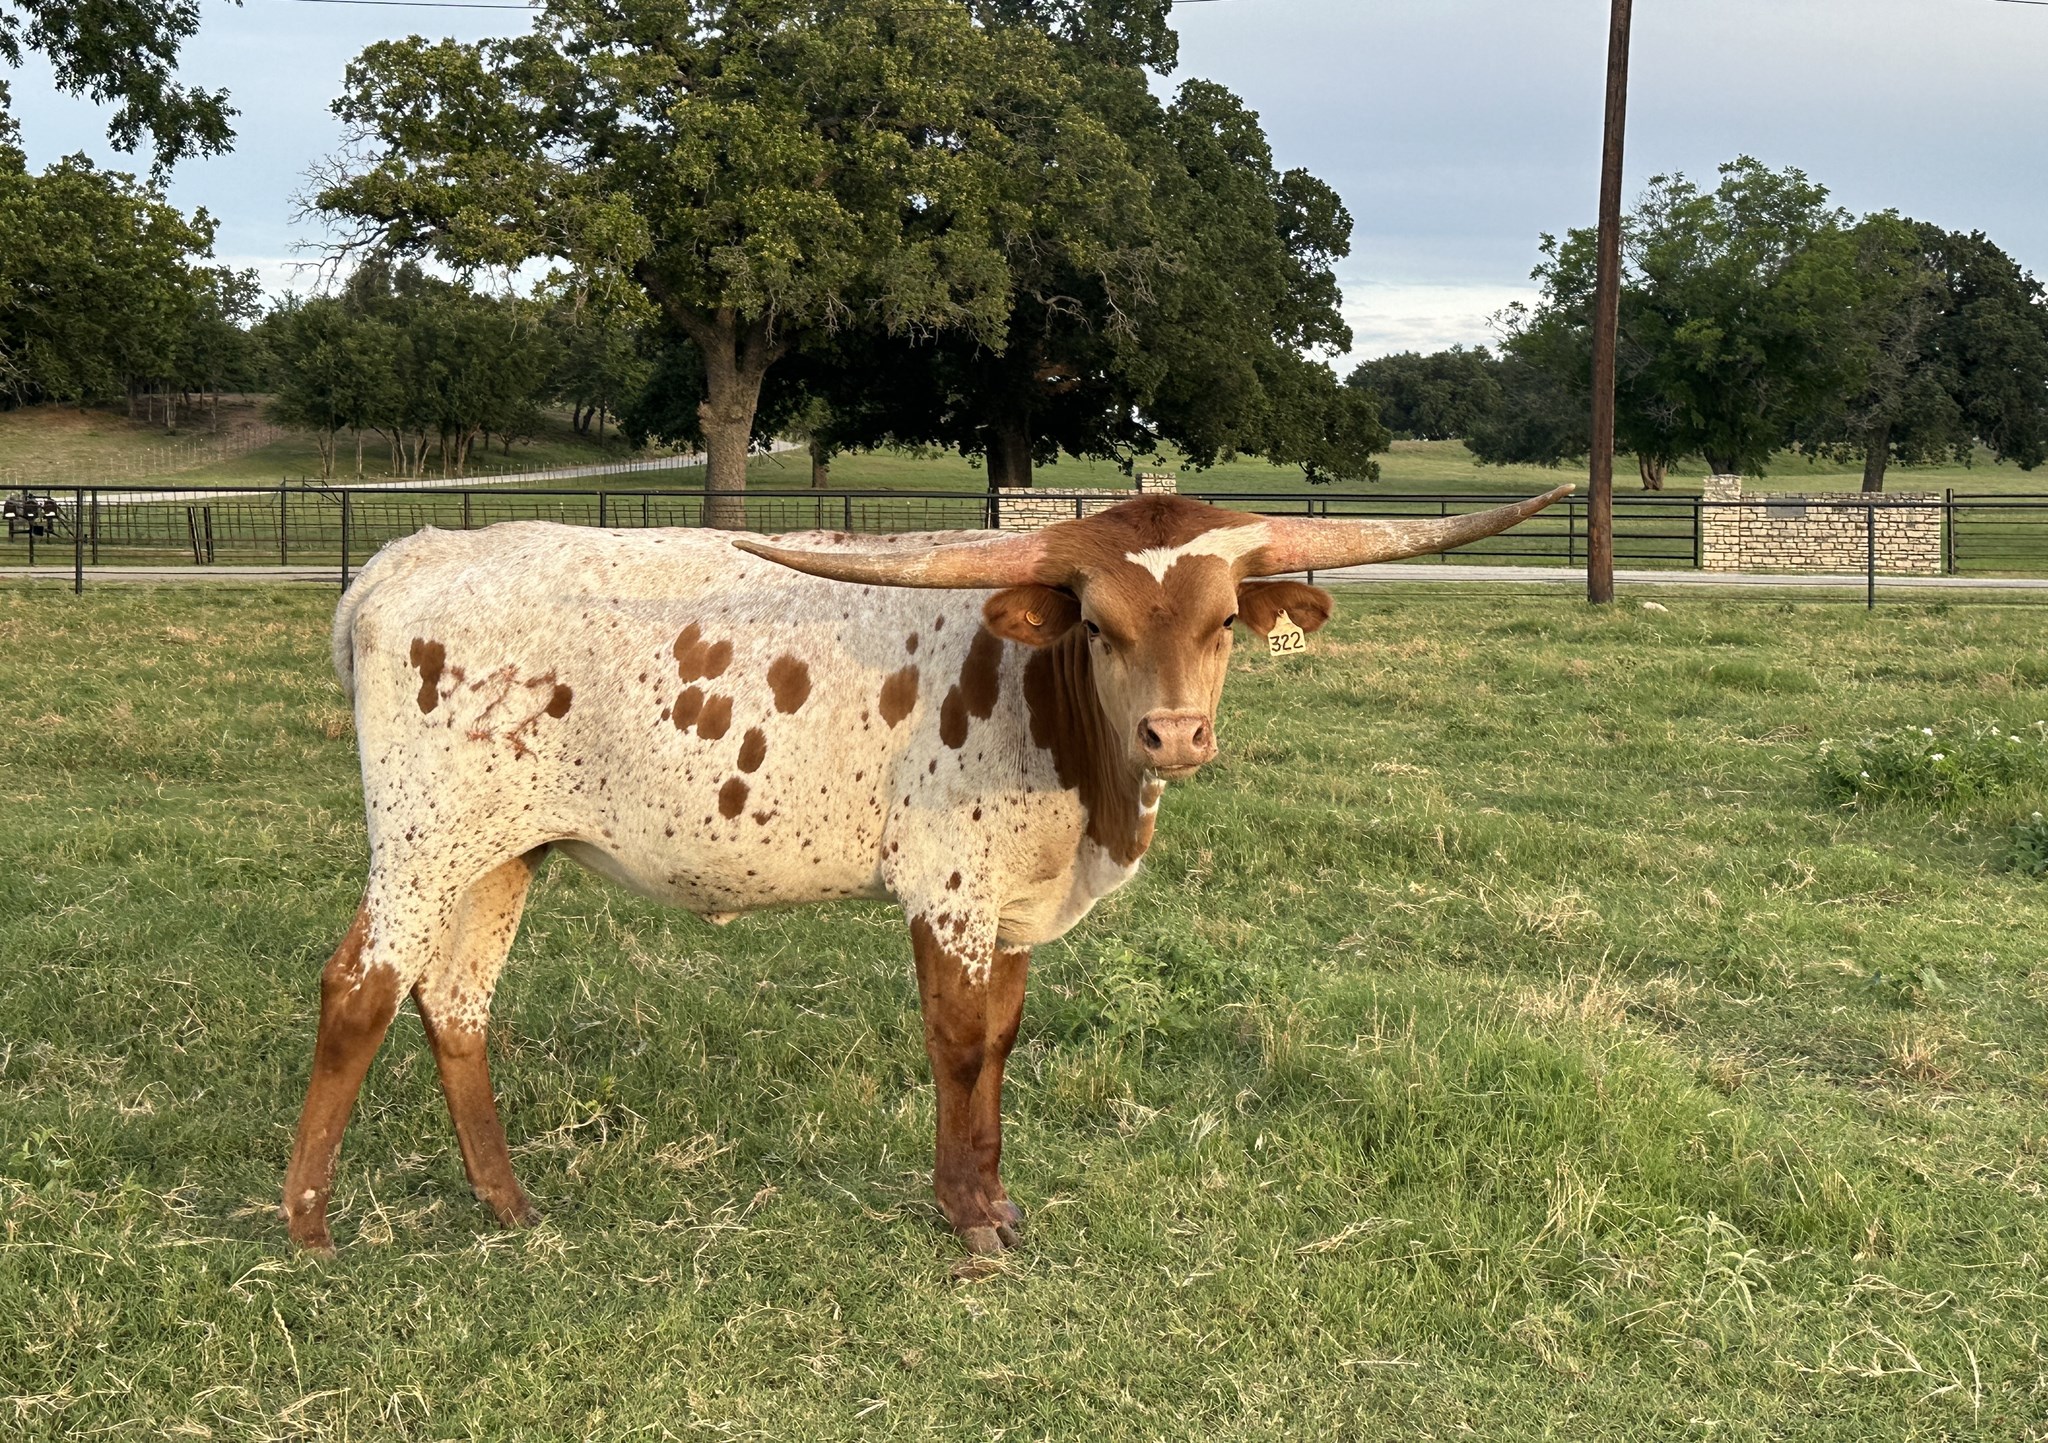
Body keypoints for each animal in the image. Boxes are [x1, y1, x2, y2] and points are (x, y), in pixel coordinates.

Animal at [283, 486, 1570, 1255]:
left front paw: (993, 1200)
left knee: (455, 1001)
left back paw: (508, 1205)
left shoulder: (1011, 902)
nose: (1175, 736)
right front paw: (965, 1225)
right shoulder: (947, 887)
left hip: (500, 853)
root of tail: (404, 558)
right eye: (1095, 623)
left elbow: (998, 1042)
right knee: (359, 989)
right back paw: (307, 1225)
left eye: (1217, 626)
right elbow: (953, 1043)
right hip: (422, 837)